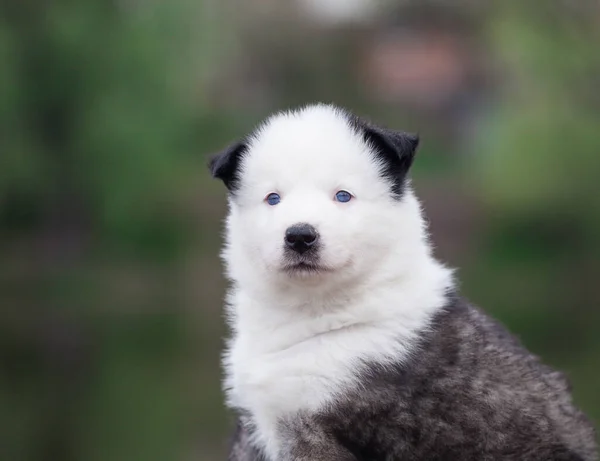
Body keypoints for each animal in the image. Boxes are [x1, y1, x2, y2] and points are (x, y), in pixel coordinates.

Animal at [209, 105, 596, 460]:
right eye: (273, 198)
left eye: (343, 196)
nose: (300, 236)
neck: (314, 311)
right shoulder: (259, 427)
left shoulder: (316, 432)